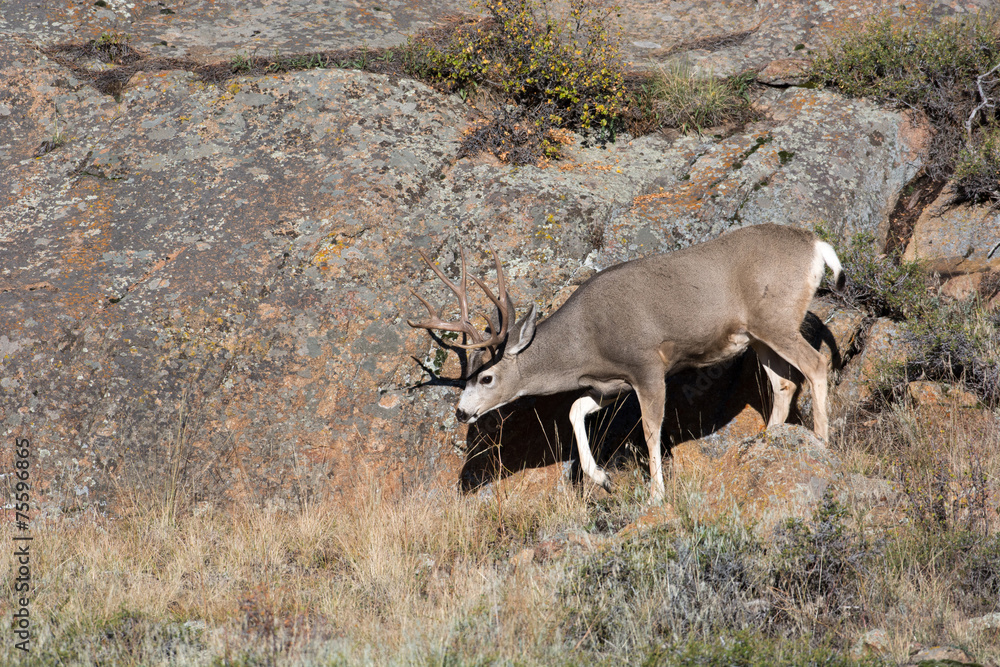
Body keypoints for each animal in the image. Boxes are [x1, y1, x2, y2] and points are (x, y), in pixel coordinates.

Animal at [408, 223, 844, 503]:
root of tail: (816, 244)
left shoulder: (646, 364)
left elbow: (651, 430)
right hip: (758, 335)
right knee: (785, 383)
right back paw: (762, 445)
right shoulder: (608, 385)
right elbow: (574, 410)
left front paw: (656, 495)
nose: (461, 412)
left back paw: (822, 441)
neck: (587, 342)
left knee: (814, 365)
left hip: (776, 318)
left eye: (485, 377)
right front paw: (602, 479)